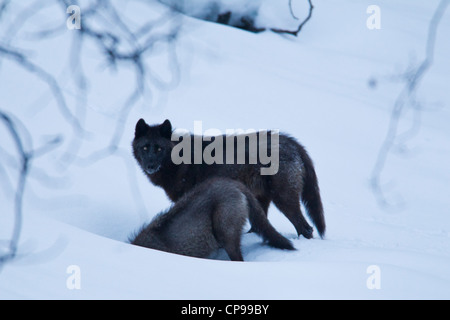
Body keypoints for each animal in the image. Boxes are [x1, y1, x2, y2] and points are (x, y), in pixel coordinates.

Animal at [132, 119, 326, 239]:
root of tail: (293, 143)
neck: (178, 161)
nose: (150, 165)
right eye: (145, 148)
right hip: (261, 199)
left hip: (283, 199)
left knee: (306, 228)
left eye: (159, 149)